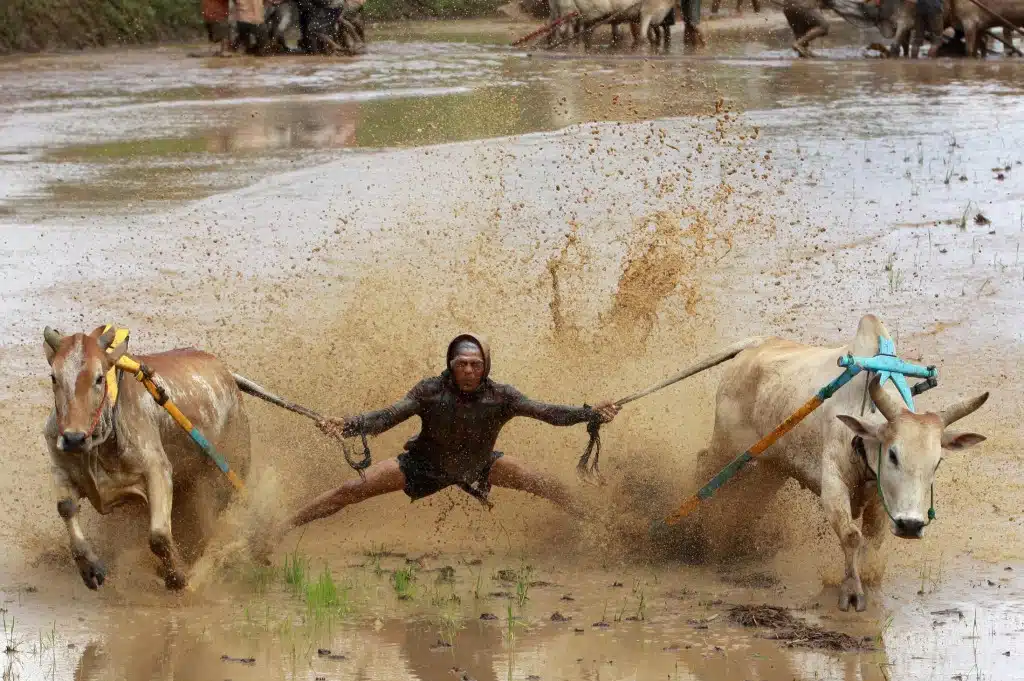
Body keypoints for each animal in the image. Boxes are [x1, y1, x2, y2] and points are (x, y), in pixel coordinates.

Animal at [42, 326, 251, 591]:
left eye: (99, 378)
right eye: (54, 377)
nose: (74, 438)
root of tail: (227, 375)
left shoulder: (157, 470)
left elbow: (158, 537)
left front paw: (177, 576)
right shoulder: (60, 468)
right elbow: (66, 508)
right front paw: (91, 569)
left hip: (228, 474)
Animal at [684, 314, 987, 611]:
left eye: (937, 462)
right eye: (892, 454)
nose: (911, 525)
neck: (861, 435)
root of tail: (756, 345)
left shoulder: (881, 500)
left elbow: (872, 541)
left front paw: (868, 585)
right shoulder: (832, 484)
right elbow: (851, 536)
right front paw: (851, 592)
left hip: (773, 466)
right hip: (726, 446)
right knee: (702, 465)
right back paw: (697, 533)